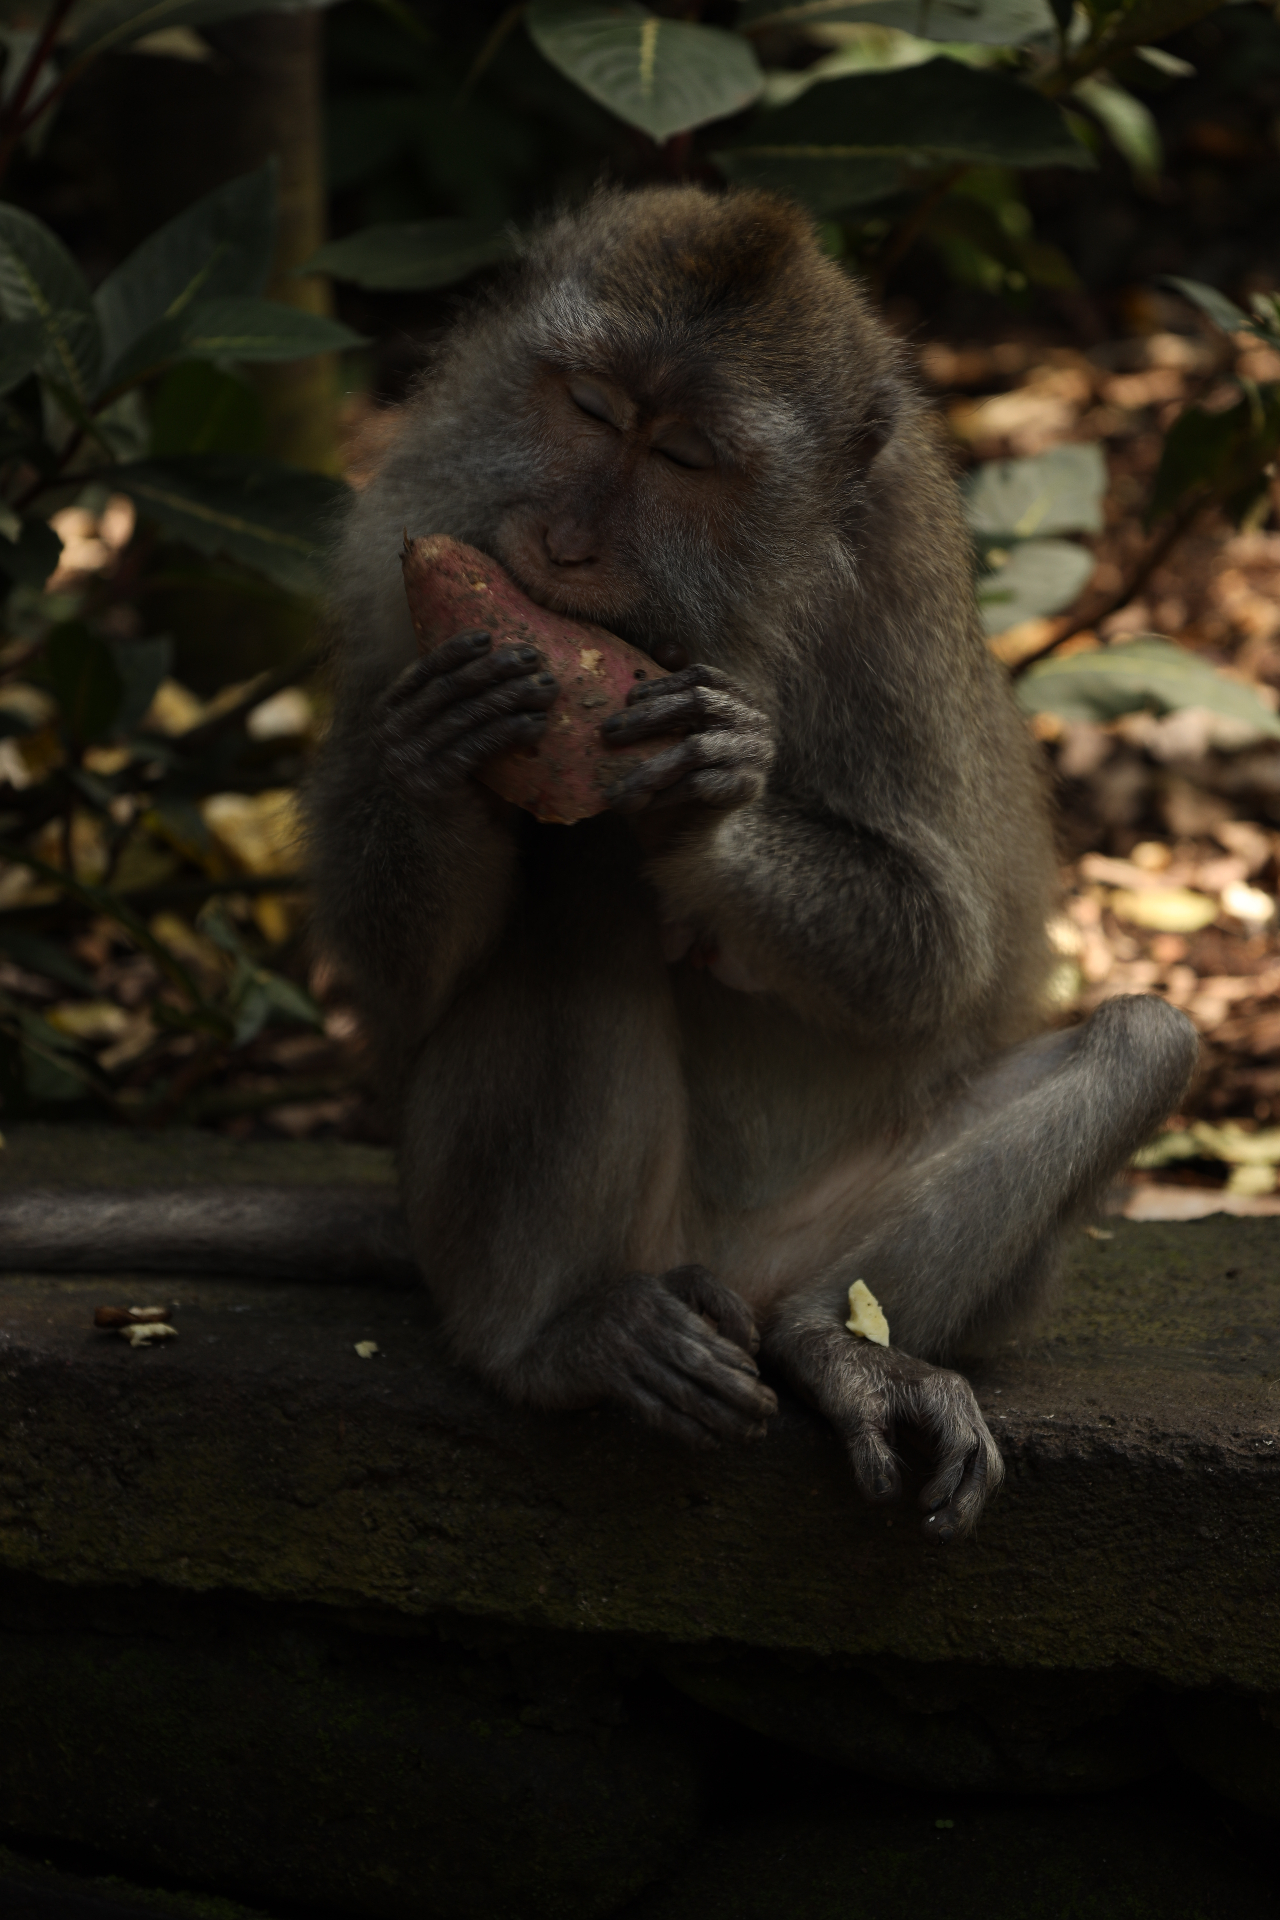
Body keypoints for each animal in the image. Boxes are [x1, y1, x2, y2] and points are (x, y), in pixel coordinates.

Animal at [0, 186, 1196, 1541]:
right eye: (585, 407)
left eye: (682, 457)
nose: (566, 546)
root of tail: (723, 1267)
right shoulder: (388, 576)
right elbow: (406, 979)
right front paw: (438, 752)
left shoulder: (897, 614)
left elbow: (939, 956)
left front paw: (708, 810)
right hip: (555, 1231)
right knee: (574, 905)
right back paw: (553, 1338)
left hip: (835, 1252)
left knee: (1136, 1044)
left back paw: (842, 1351)